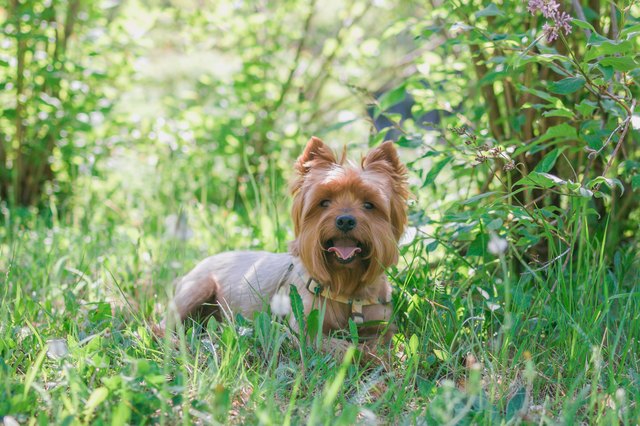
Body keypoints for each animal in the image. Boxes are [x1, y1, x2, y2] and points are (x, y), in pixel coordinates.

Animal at [162, 138, 408, 358]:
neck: (346, 286)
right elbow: (345, 347)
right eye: (324, 202)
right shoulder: (306, 331)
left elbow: (381, 345)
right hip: (198, 287)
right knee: (164, 325)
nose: (345, 220)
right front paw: (370, 357)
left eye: (369, 205)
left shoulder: (381, 327)